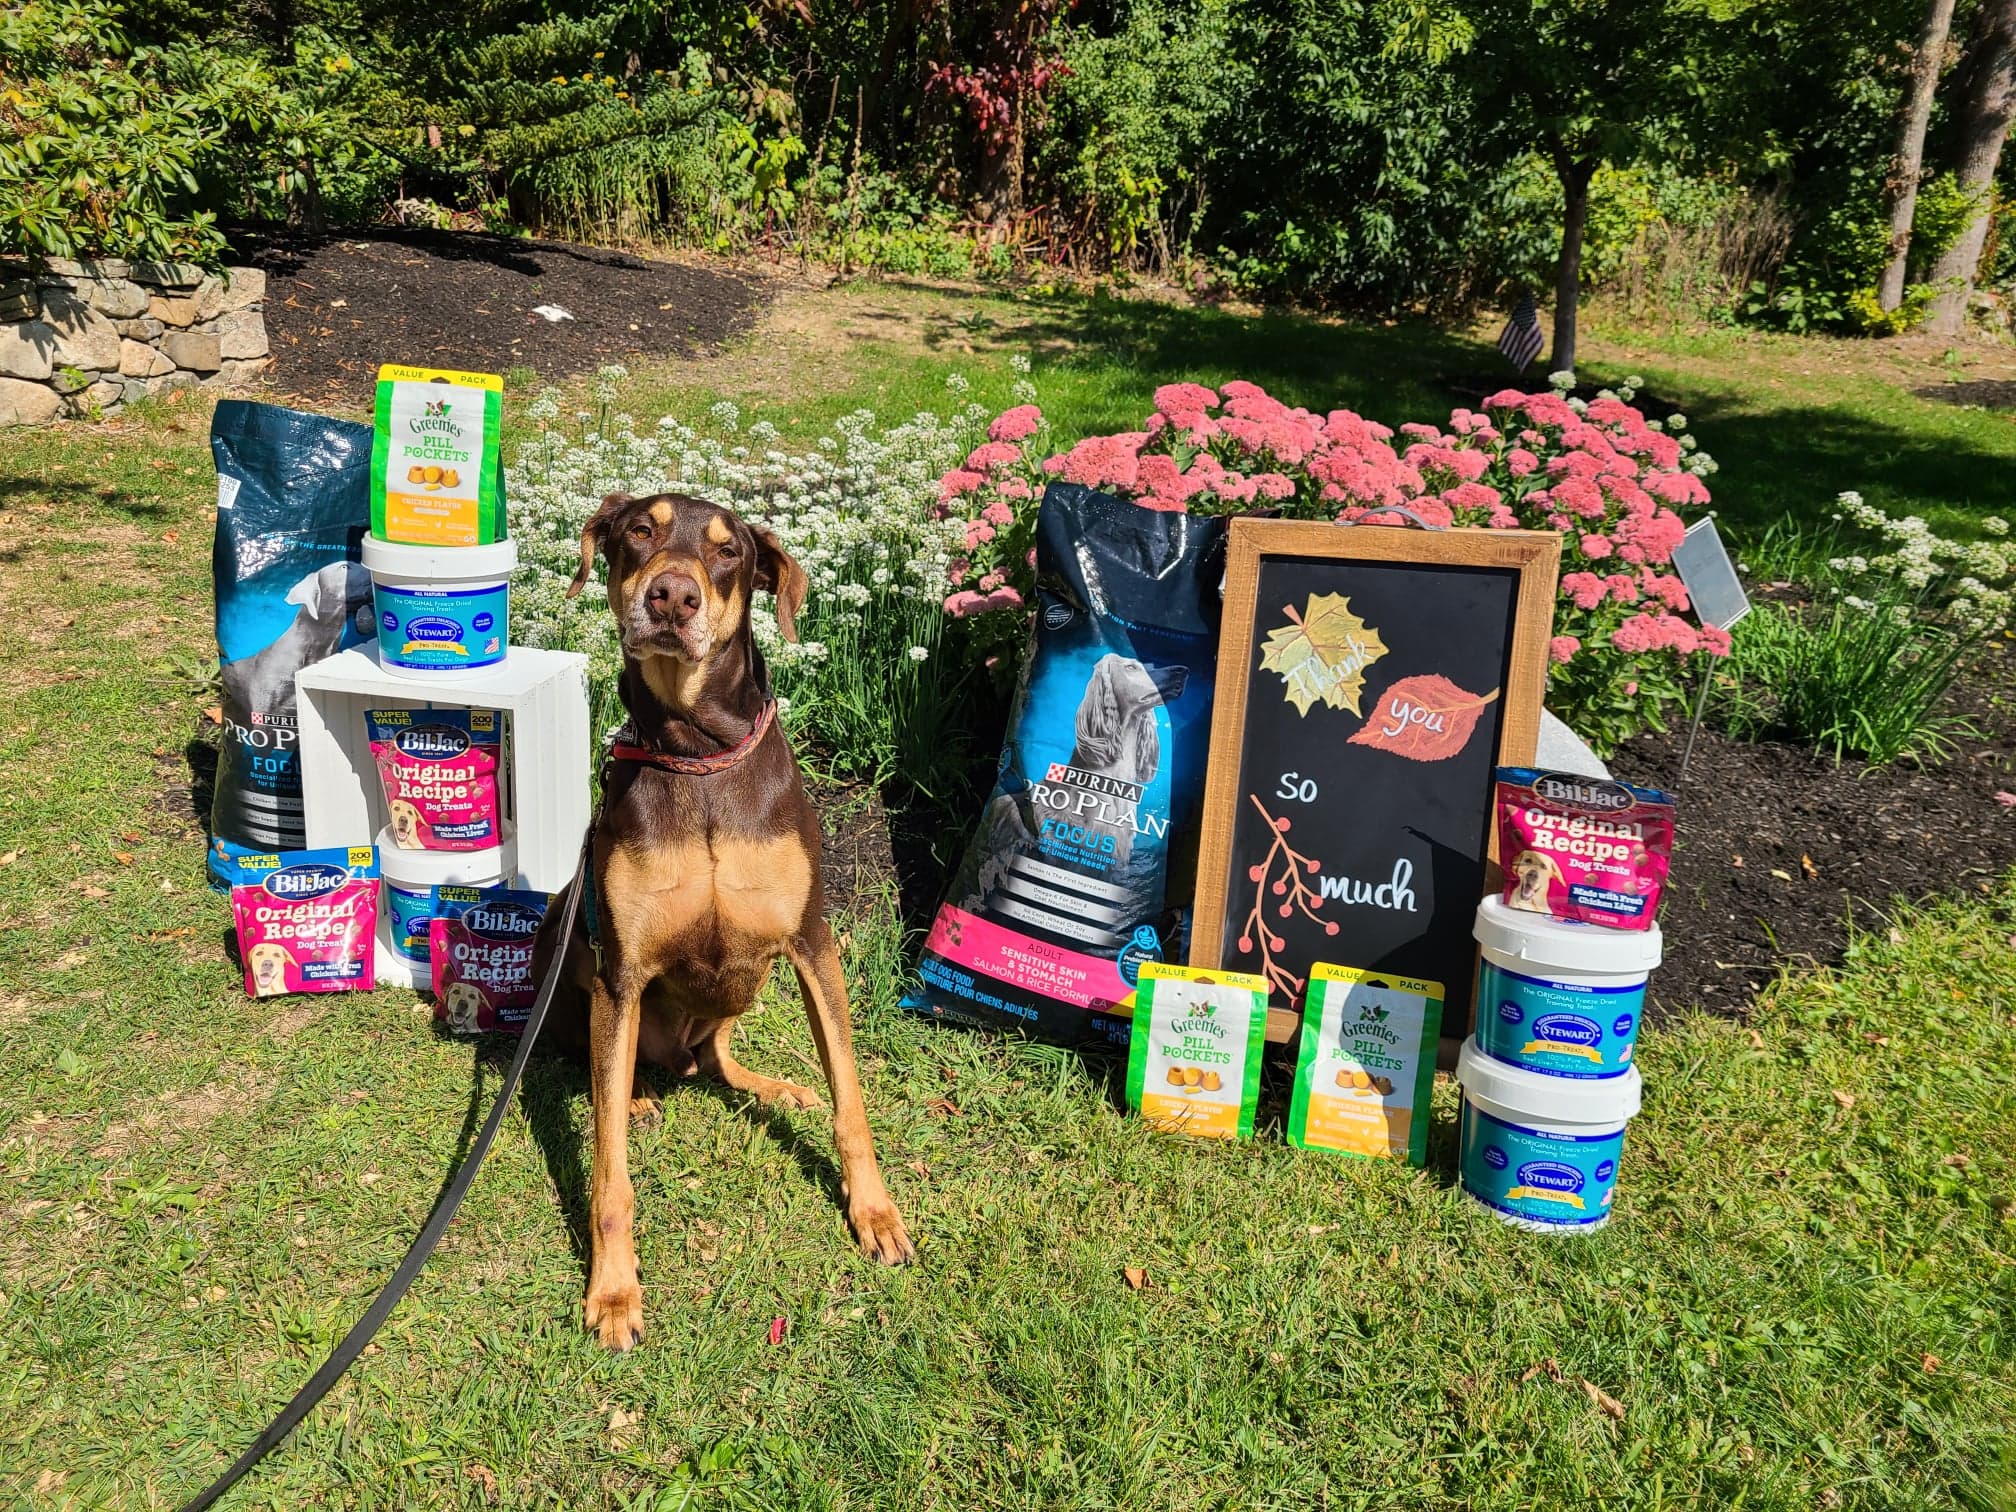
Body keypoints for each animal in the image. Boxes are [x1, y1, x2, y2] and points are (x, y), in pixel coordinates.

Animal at [536, 491, 915, 1354]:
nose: (672, 597)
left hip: (748, 985)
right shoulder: (620, 970)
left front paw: (874, 1211)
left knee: (715, 1058)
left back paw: (772, 1086)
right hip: (563, 945)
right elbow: (607, 1170)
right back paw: (638, 1094)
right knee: (604, 1067)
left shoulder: (812, 944)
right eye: (638, 531)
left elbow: (850, 1097)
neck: (694, 751)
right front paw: (614, 1291)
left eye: (727, 552)